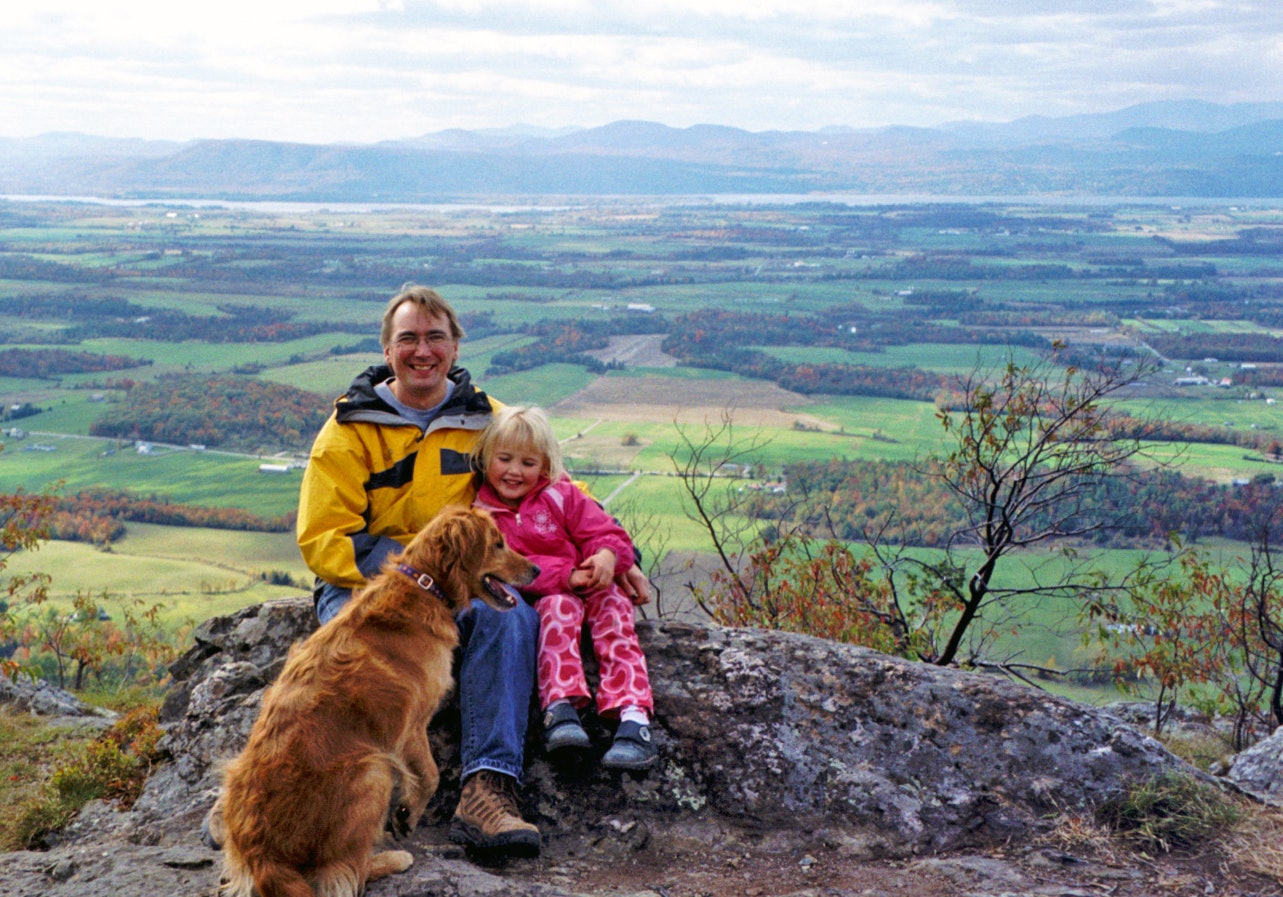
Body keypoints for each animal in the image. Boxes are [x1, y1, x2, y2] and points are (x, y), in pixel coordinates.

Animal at [206, 505, 536, 897]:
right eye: (498, 543)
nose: (537, 570)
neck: (426, 586)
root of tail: (263, 860)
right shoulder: (410, 726)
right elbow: (430, 774)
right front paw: (407, 814)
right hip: (373, 771)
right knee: (347, 870)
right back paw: (391, 858)